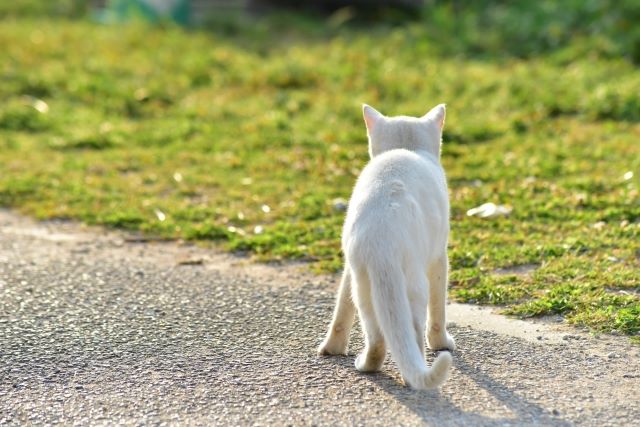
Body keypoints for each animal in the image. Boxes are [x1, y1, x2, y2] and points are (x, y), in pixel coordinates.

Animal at [318, 103, 456, 392]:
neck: (406, 147)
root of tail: (382, 236)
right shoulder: (440, 257)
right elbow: (439, 310)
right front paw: (442, 343)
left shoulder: (349, 270)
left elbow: (340, 314)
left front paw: (331, 348)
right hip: (414, 285)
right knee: (408, 335)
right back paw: (414, 376)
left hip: (363, 286)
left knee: (375, 336)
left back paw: (361, 363)